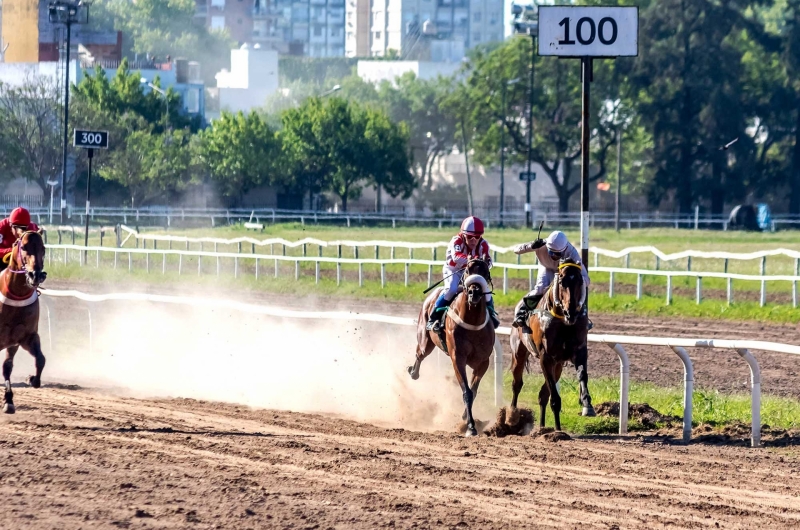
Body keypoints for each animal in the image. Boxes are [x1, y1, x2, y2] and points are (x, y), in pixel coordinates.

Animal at [0, 231, 47, 412]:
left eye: (43, 248)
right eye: (24, 247)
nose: (36, 275)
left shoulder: (25, 337)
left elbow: (40, 359)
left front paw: (32, 379)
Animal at [410, 255, 496, 434]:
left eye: (485, 271)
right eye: (468, 270)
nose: (474, 292)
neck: (472, 321)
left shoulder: (483, 362)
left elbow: (473, 391)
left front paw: (465, 417)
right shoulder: (458, 358)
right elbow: (467, 392)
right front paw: (470, 427)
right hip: (425, 341)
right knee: (419, 354)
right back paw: (413, 371)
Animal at [506, 258, 592, 432]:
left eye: (580, 281)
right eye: (562, 281)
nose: (571, 312)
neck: (563, 322)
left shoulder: (579, 351)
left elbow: (582, 375)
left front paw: (587, 404)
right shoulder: (545, 358)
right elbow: (554, 397)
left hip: (558, 365)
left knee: (542, 395)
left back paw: (545, 427)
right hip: (518, 353)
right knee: (517, 384)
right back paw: (512, 416)